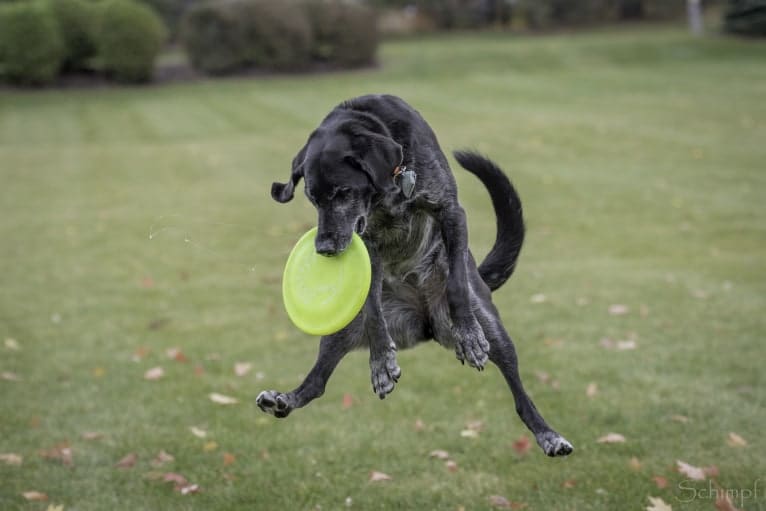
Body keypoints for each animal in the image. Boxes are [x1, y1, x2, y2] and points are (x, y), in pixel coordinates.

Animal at [258, 94, 568, 458]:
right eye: (312, 200)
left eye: (343, 192)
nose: (323, 248)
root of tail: (425, 323)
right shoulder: (368, 244)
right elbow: (373, 311)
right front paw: (381, 362)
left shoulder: (450, 212)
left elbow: (457, 286)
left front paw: (468, 334)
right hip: (342, 327)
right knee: (318, 382)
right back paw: (283, 400)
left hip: (494, 328)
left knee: (519, 391)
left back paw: (548, 434)